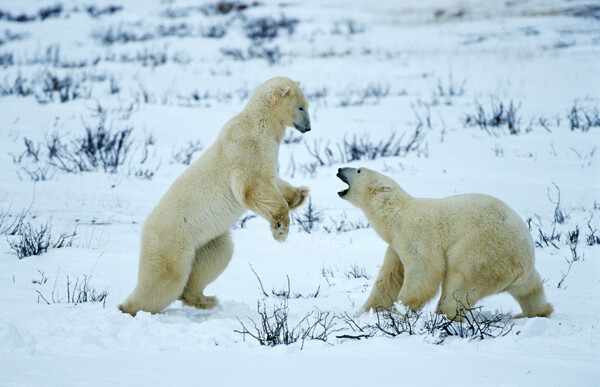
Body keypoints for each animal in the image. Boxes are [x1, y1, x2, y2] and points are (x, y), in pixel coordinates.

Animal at [119, 77, 312, 316]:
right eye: (301, 107)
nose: (308, 127)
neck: (259, 125)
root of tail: (146, 228)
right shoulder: (246, 150)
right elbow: (252, 187)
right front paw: (280, 228)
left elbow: (273, 181)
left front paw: (300, 195)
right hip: (171, 240)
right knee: (165, 276)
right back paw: (129, 308)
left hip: (205, 241)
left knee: (217, 257)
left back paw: (204, 299)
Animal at [338, 167, 552, 322]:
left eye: (359, 170)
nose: (340, 169)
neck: (396, 215)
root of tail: (522, 260)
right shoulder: (395, 245)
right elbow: (389, 278)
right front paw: (366, 311)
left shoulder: (416, 235)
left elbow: (424, 270)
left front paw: (402, 307)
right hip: (515, 267)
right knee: (530, 288)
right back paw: (536, 311)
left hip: (485, 250)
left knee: (459, 281)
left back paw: (444, 316)